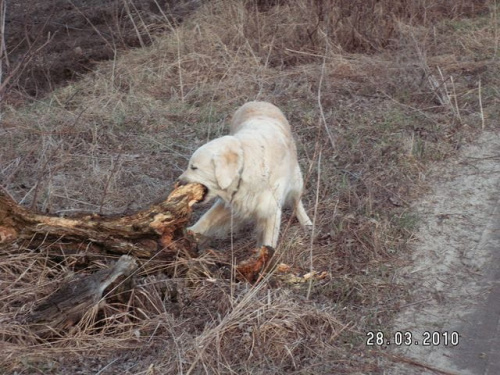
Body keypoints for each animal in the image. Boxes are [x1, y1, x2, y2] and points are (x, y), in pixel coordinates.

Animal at [179, 102, 312, 250]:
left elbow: (268, 243)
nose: (179, 182)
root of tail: (260, 101)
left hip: (296, 180)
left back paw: (306, 223)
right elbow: (206, 220)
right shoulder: (230, 203)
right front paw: (186, 235)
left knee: (297, 201)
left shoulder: (270, 210)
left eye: (194, 167)